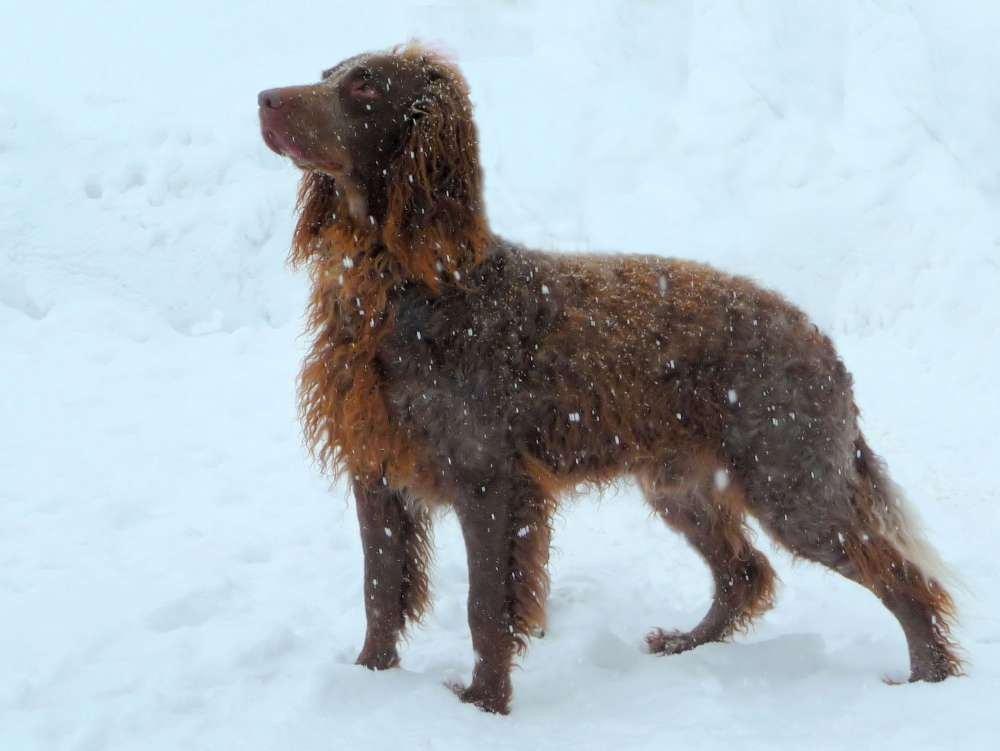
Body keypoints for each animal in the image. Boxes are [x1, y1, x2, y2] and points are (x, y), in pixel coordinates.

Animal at [258, 44, 960, 712]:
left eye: (366, 86)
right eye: (329, 72)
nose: (264, 98)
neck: (404, 286)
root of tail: (819, 340)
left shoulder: (489, 481)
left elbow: (485, 608)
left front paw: (484, 706)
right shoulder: (376, 472)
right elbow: (380, 592)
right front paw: (367, 679)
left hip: (793, 485)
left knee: (903, 578)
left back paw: (928, 679)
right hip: (682, 485)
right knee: (747, 573)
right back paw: (687, 644)